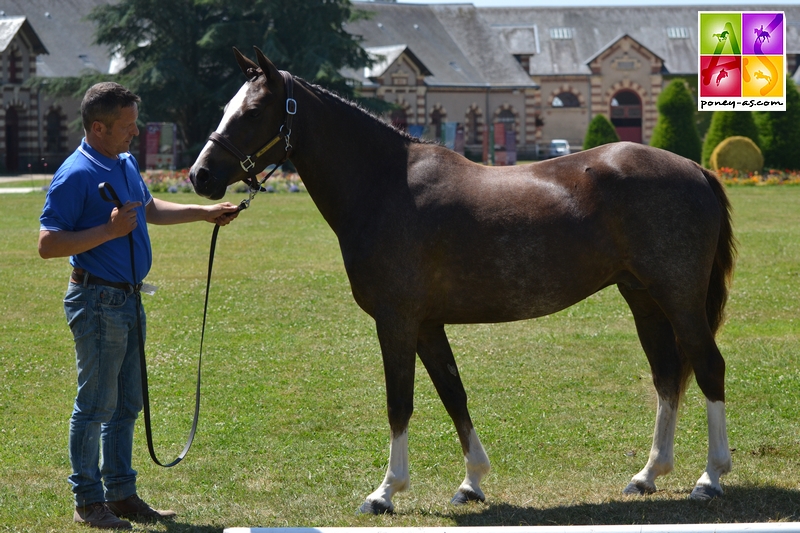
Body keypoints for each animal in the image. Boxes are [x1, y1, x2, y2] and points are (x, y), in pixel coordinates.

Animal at [189, 47, 736, 512]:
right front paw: (472, 481)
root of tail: (694, 168)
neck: (385, 185)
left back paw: (709, 478)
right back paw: (648, 475)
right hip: (643, 298)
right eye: (226, 107)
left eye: (252, 112)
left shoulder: (396, 321)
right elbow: (454, 394)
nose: (200, 175)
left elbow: (399, 402)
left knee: (708, 366)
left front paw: (386, 491)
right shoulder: (428, 325)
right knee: (667, 374)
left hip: (679, 297)